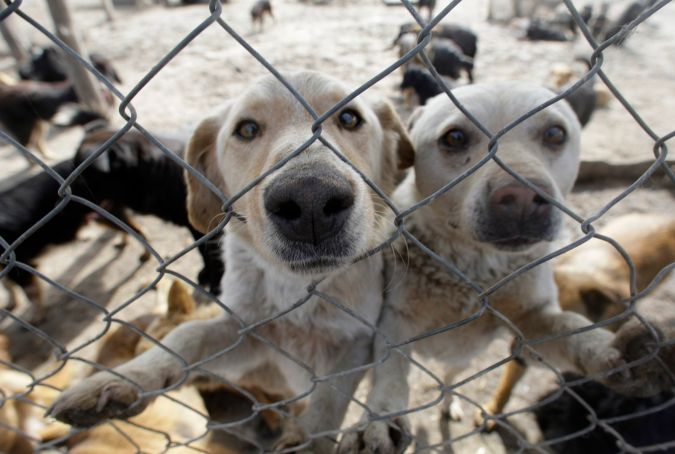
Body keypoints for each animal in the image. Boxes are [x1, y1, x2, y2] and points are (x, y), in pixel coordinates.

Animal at [48, 71, 414, 452]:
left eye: (349, 119)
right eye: (247, 129)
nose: (310, 200)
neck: (297, 292)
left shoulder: (358, 339)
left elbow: (330, 395)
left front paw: (309, 439)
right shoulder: (247, 333)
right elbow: (187, 335)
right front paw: (123, 379)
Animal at [337, 83, 641, 453]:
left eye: (555, 133)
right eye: (454, 138)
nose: (521, 197)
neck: (477, 271)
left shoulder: (533, 321)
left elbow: (570, 326)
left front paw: (607, 350)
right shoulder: (396, 324)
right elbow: (391, 378)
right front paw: (379, 422)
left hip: (462, 360)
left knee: (449, 381)